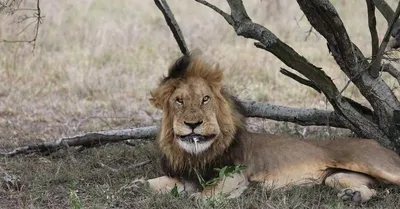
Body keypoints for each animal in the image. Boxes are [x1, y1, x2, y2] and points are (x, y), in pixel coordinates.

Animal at [147, 52, 400, 204]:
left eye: (205, 99)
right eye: (179, 101)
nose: (192, 124)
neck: (196, 155)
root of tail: (376, 142)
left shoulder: (235, 175)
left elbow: (205, 194)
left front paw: (199, 198)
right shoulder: (186, 176)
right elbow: (152, 184)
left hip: (373, 163)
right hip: (335, 177)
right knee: (372, 189)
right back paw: (353, 196)